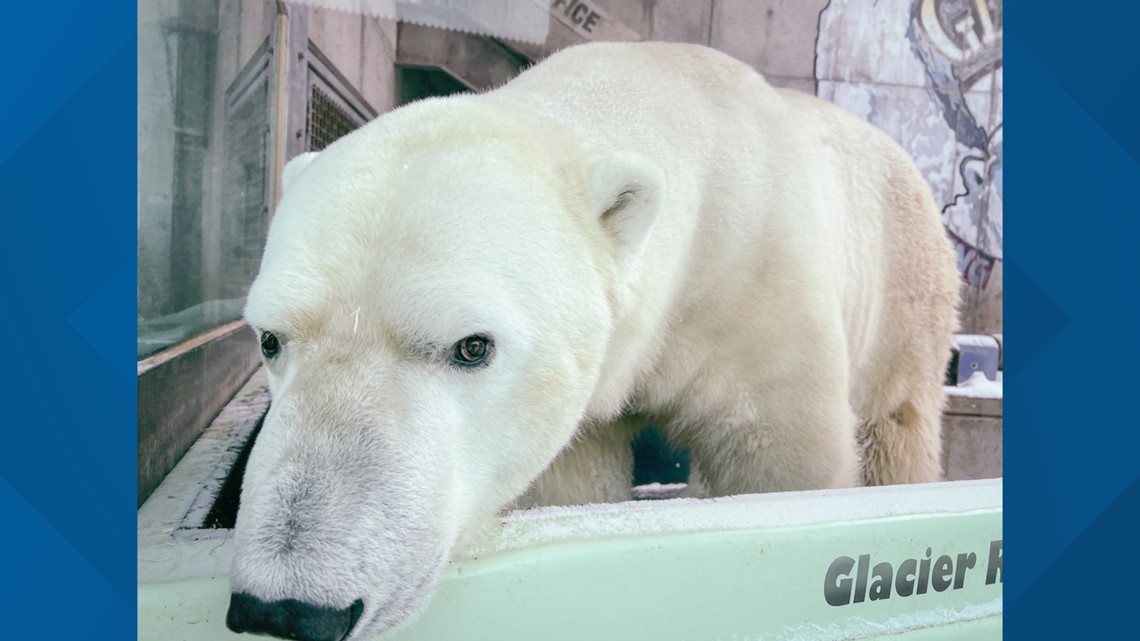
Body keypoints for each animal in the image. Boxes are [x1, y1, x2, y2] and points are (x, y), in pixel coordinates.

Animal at [226, 41, 960, 641]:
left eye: (472, 346)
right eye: (270, 340)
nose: (288, 609)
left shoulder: (757, 293)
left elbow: (778, 454)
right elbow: (571, 480)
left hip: (904, 280)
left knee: (898, 419)